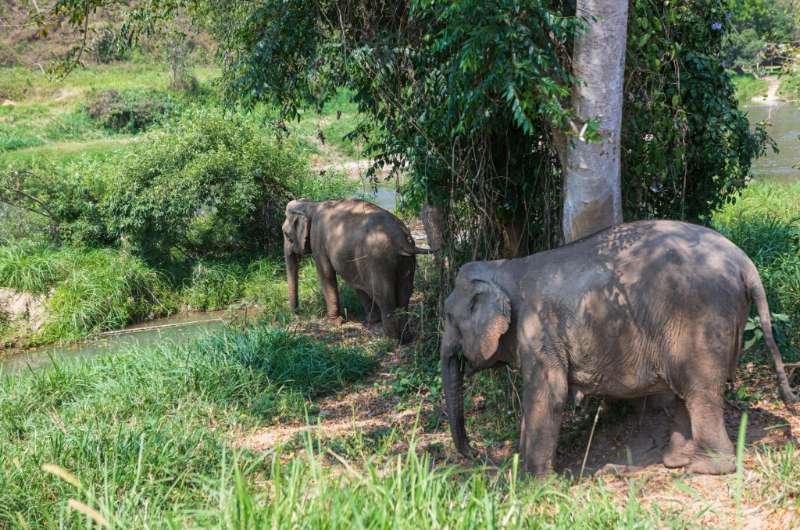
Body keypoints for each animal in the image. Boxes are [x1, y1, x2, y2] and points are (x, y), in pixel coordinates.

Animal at [282, 198, 431, 340]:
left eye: (285, 233)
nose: (296, 314)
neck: (311, 204)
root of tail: (402, 241)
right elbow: (358, 285)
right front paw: (371, 321)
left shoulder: (317, 240)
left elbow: (326, 275)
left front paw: (334, 322)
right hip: (406, 261)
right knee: (404, 294)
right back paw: (406, 337)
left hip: (378, 260)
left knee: (384, 296)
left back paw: (391, 339)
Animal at [440, 220, 797, 476]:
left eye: (449, 318)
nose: (477, 454)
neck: (504, 267)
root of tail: (746, 263)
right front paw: (522, 470)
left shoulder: (538, 329)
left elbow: (549, 393)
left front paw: (534, 481)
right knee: (687, 390)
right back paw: (675, 462)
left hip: (702, 319)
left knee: (701, 391)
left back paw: (705, 468)